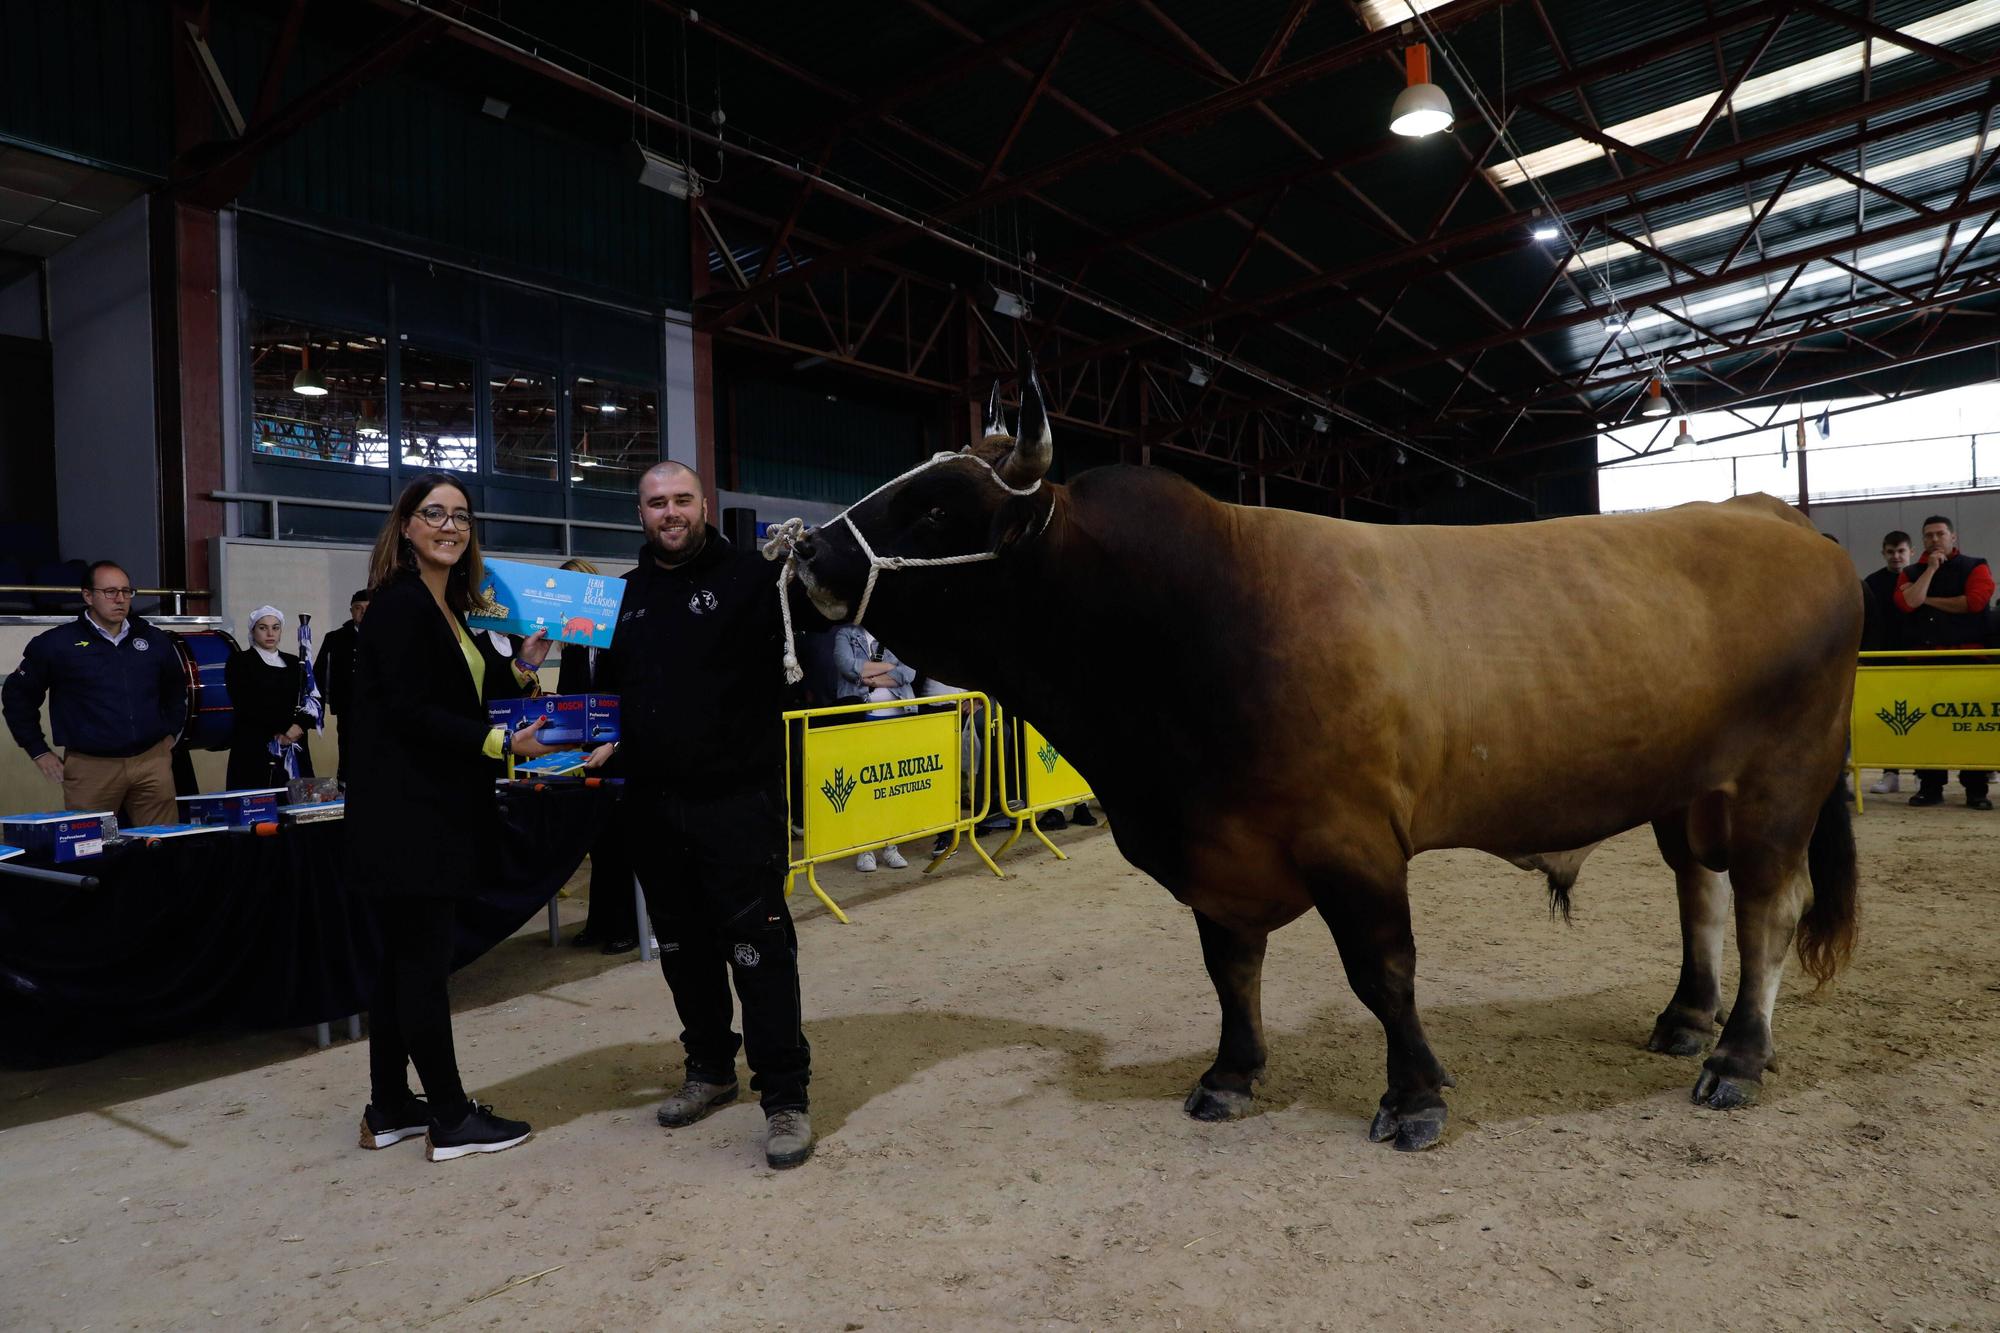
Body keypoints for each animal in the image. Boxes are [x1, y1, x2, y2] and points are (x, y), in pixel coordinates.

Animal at [776, 368, 1856, 1144]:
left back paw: (1735, 1057)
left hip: (1778, 782)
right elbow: (1228, 966)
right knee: (1697, 890)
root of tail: (1767, 511)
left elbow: (1382, 970)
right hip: (1688, 790)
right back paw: (1684, 1018)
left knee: (1766, 907)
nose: (807, 551)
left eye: (934, 508)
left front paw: (1414, 1095)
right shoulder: (1217, 845)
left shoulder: (1351, 839)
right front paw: (1228, 1072)